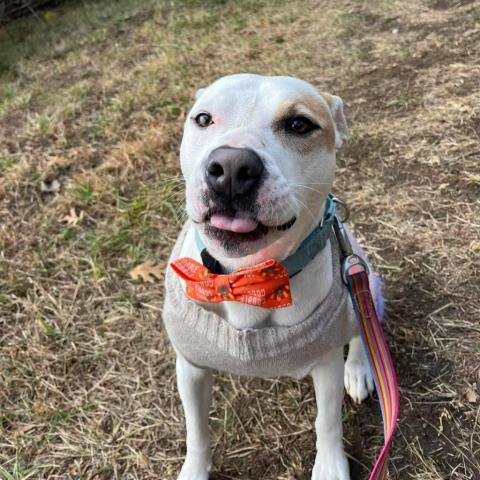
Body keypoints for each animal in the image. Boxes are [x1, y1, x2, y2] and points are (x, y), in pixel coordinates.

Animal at [163, 73, 380, 478]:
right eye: (203, 119)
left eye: (299, 125)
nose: (231, 167)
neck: (247, 276)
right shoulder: (190, 367)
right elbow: (196, 430)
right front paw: (194, 470)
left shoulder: (325, 363)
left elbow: (328, 421)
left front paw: (330, 466)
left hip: (363, 278)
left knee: (363, 329)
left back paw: (359, 370)